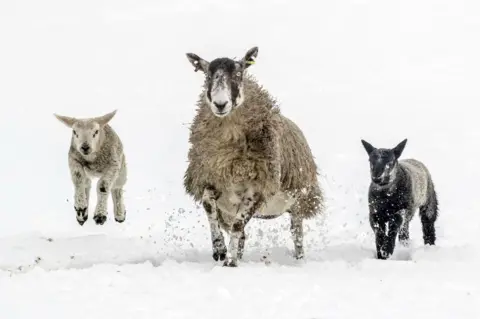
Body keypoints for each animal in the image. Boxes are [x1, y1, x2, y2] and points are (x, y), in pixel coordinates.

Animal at [184, 47, 326, 268]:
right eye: (207, 75)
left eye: (238, 74)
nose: (220, 104)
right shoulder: (212, 179)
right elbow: (209, 206)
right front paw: (220, 249)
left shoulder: (257, 189)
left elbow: (238, 225)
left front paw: (230, 262)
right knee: (242, 234)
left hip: (299, 201)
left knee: (296, 233)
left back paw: (298, 260)